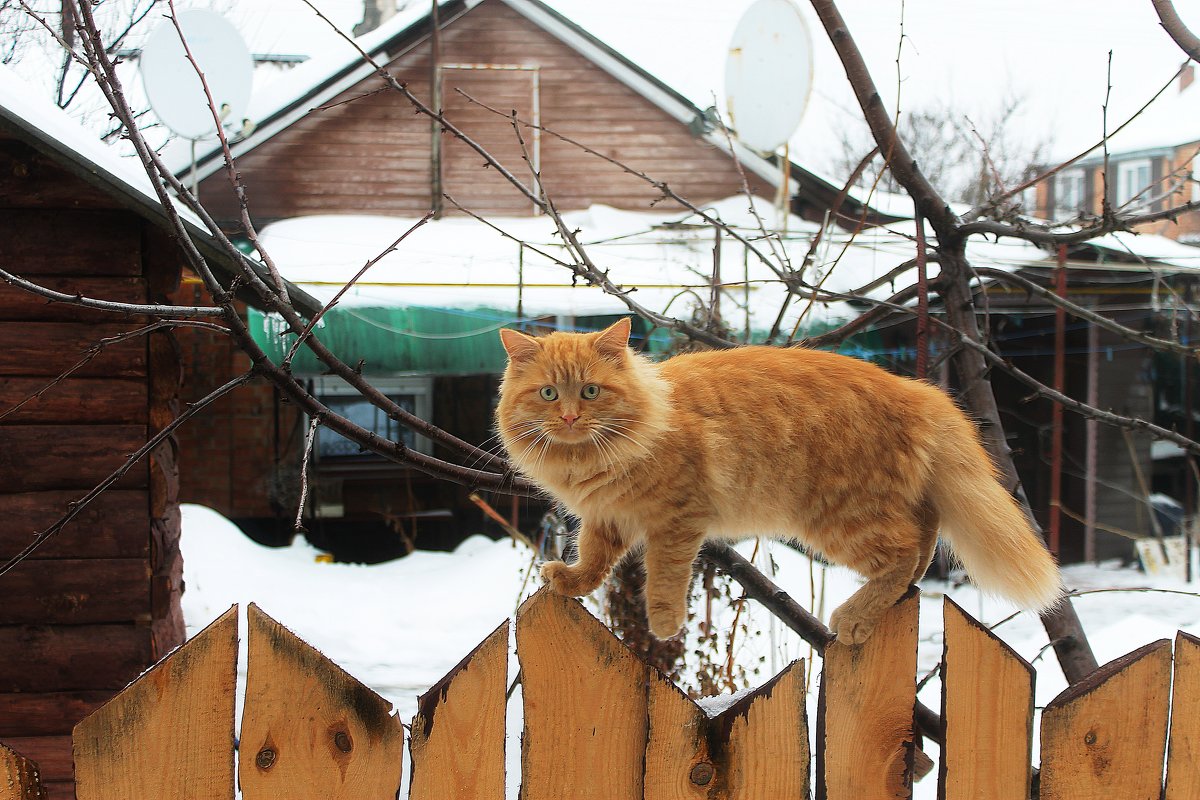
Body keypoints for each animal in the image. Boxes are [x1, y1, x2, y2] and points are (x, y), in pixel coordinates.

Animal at [494, 316, 1060, 642]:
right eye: (549, 394)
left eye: (590, 392)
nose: (569, 418)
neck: (591, 458)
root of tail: (918, 391)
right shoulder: (607, 518)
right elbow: (592, 560)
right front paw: (571, 581)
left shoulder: (676, 522)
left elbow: (665, 579)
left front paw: (664, 626)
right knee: (922, 537)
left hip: (840, 519)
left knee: (901, 554)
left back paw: (854, 619)